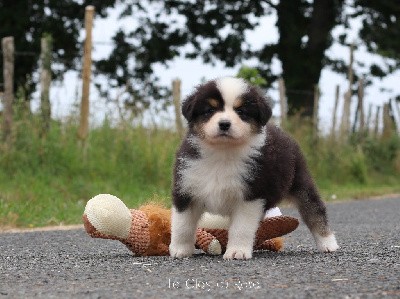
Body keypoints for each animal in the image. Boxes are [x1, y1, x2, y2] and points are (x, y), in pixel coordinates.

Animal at [169, 77, 338, 260]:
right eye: (210, 110)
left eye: (241, 111)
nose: (224, 124)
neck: (222, 153)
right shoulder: (186, 188)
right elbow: (182, 225)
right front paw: (180, 250)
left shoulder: (251, 195)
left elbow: (241, 227)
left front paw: (237, 251)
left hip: (300, 183)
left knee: (315, 212)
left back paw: (328, 244)